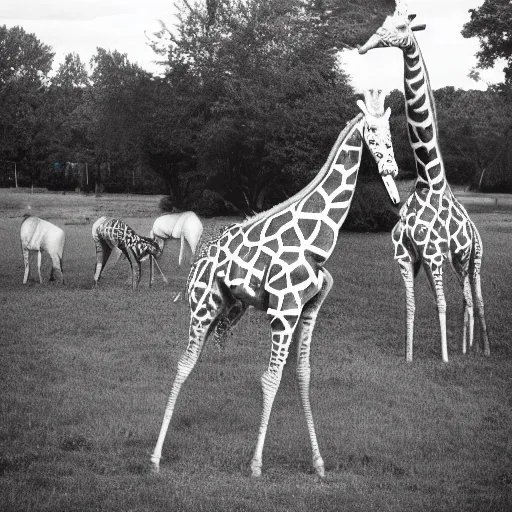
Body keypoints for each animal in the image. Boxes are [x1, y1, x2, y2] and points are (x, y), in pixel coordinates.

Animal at [150, 90, 402, 478]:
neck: (318, 241)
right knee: (184, 363)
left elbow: (303, 374)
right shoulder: (283, 311)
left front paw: (318, 463)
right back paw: (155, 457)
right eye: (372, 133)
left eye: (391, 134)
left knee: (191, 359)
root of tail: (196, 268)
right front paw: (255, 465)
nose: (391, 171)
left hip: (226, 308)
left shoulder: (307, 309)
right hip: (203, 307)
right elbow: (270, 378)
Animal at [358, 0, 490, 364]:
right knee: (466, 298)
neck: (427, 180)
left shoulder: (432, 254)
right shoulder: (407, 256)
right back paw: (467, 348)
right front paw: (408, 356)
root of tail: (474, 227)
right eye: (383, 22)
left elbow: (441, 303)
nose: (365, 46)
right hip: (456, 260)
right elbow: (413, 304)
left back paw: (483, 349)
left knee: (477, 298)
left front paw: (444, 359)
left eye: (403, 27)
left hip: (472, 258)